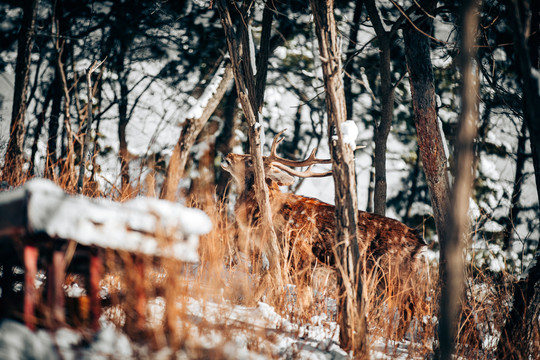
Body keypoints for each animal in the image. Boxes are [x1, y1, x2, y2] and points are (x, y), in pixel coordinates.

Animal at [219, 129, 426, 332]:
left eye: (249, 160)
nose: (226, 156)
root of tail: (418, 240)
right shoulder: (280, 256)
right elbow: (264, 283)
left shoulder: (300, 253)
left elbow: (302, 297)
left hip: (391, 269)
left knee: (409, 305)